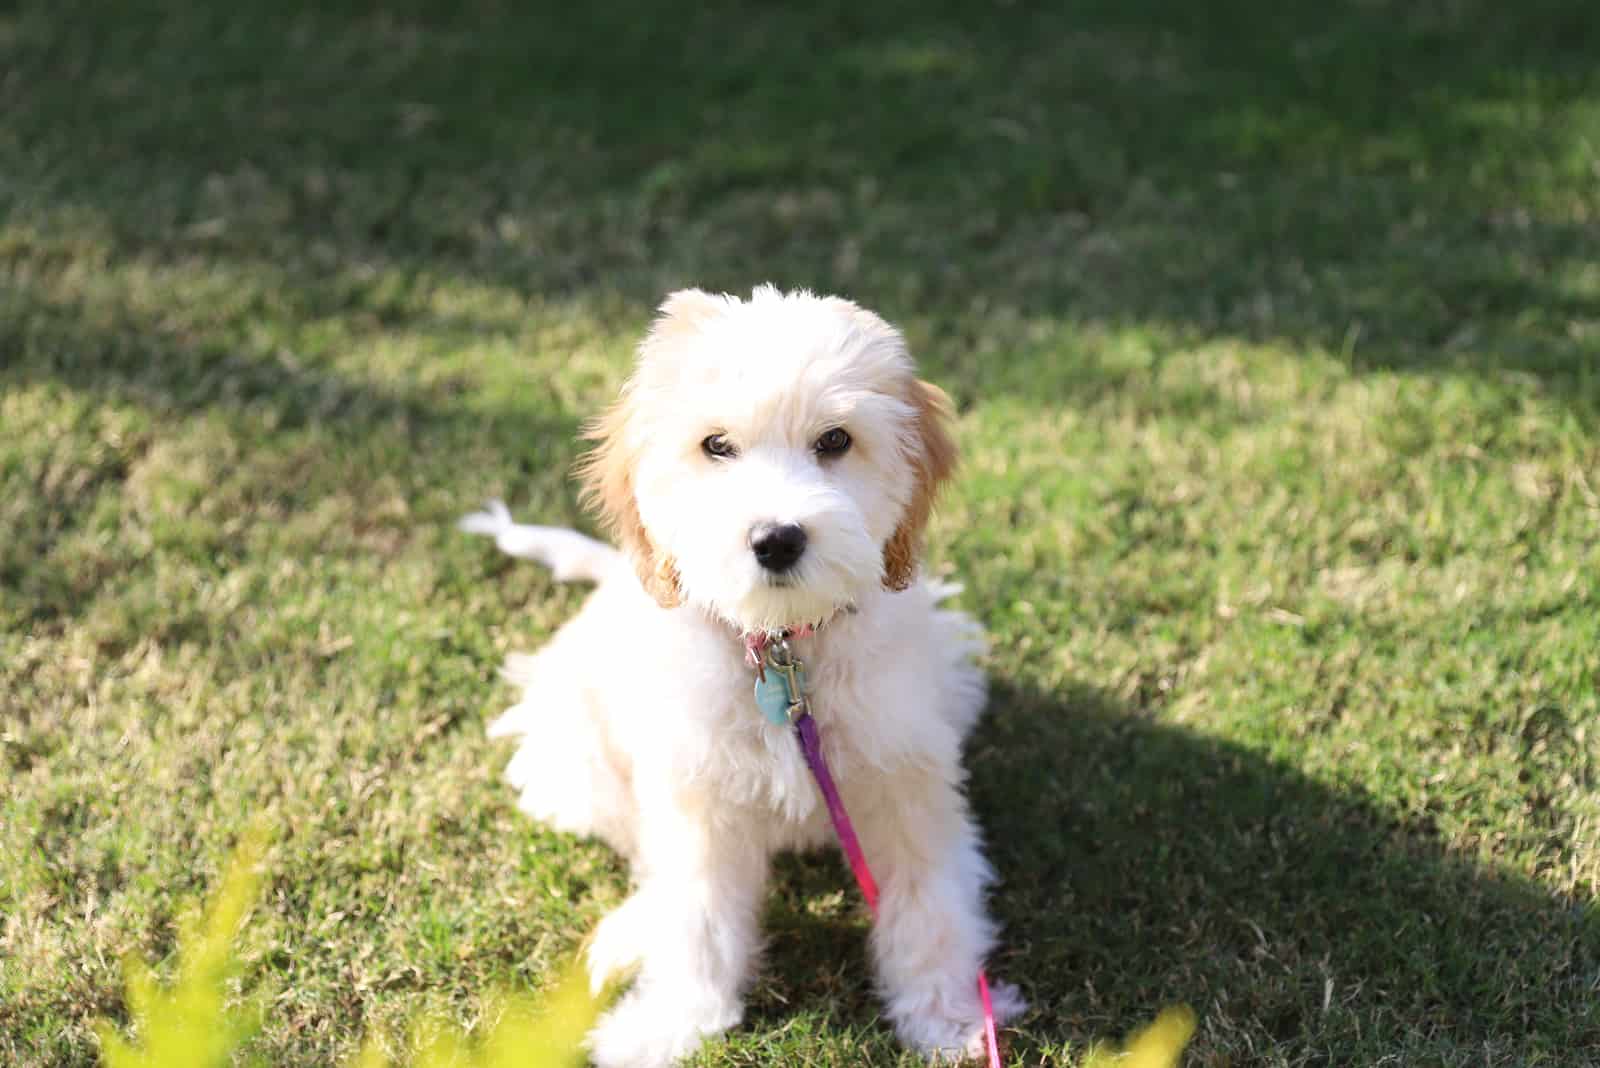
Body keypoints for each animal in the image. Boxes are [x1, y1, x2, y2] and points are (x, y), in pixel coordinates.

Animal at [464, 286, 1017, 1068]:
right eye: (715, 446)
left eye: (835, 441)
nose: (777, 539)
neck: (782, 652)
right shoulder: (696, 792)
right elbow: (696, 912)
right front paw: (670, 1025)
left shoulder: (904, 772)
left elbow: (928, 899)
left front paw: (948, 1017)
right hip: (579, 759)